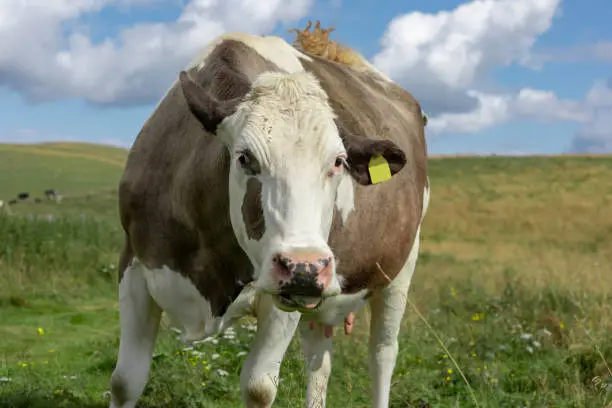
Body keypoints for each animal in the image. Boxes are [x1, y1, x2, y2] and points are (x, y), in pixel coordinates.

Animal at [109, 23, 430, 408]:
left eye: (338, 162)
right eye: (245, 158)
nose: (305, 267)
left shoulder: (283, 294)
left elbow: (258, 387)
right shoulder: (133, 263)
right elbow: (125, 381)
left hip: (399, 266)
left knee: (382, 353)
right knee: (319, 360)